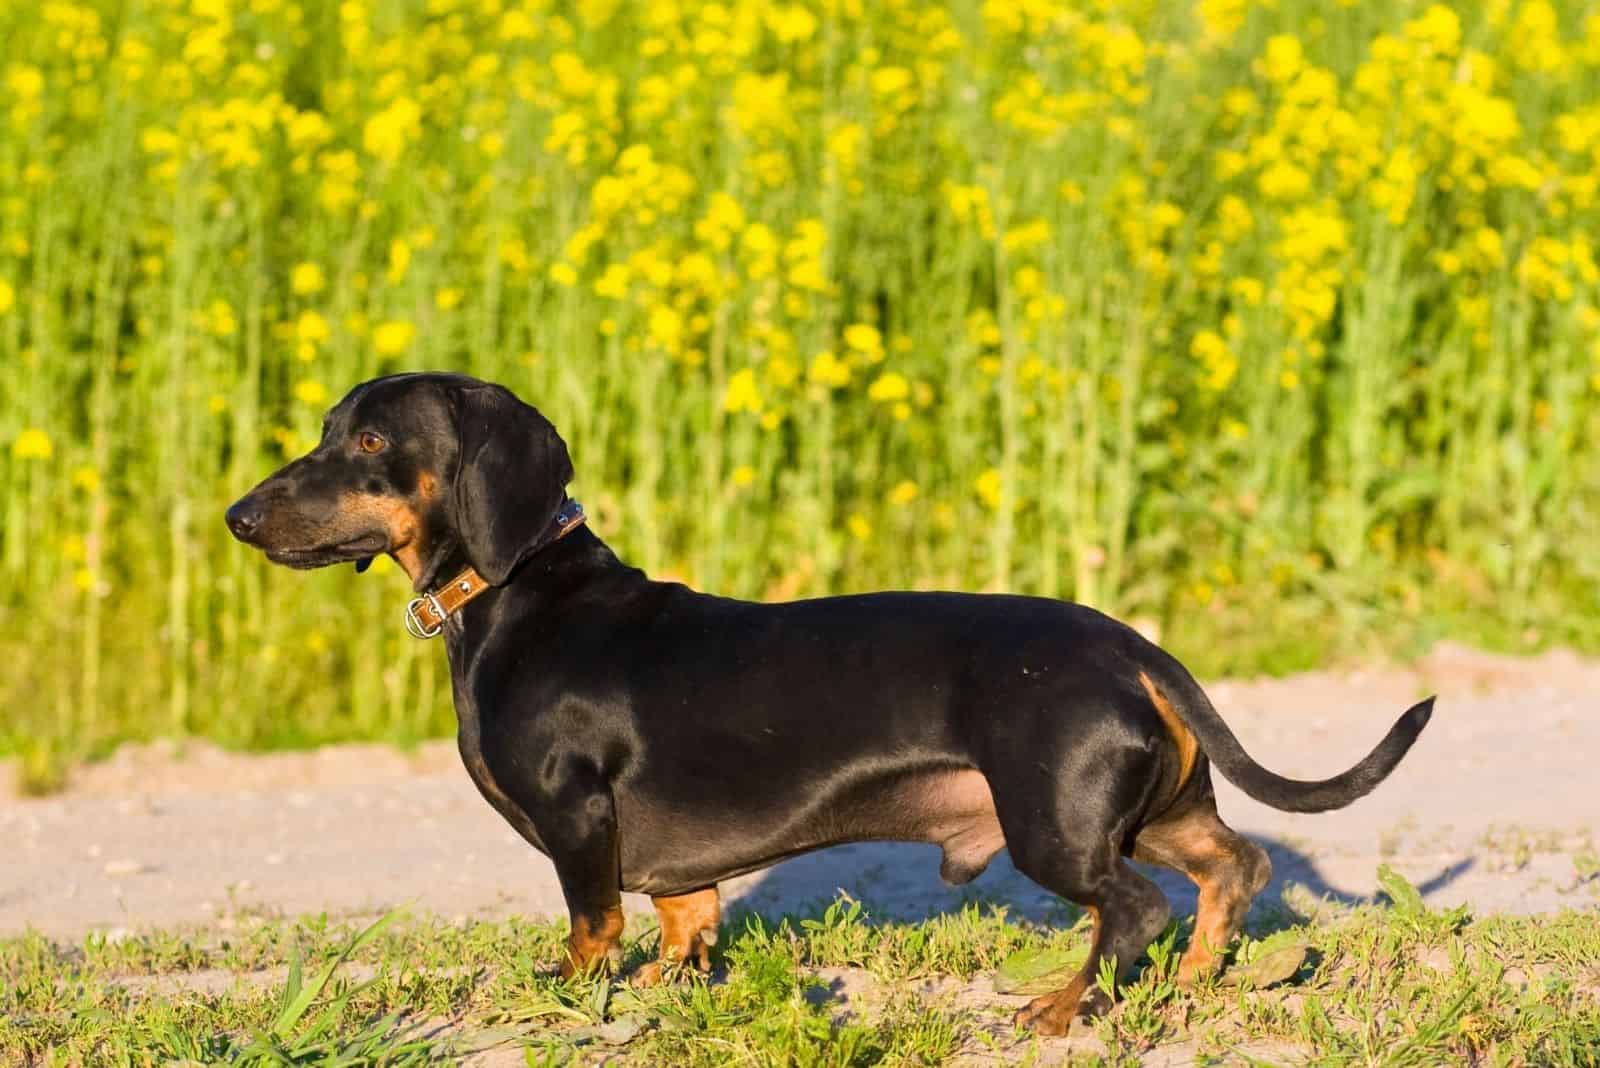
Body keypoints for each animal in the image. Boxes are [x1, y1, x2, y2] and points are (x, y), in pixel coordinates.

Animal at [228, 374, 1440, 1036]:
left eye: (372, 442)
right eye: (330, 428)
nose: (239, 516)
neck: (521, 589)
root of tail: (1132, 646)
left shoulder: (577, 821)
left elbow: (589, 928)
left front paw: (565, 996)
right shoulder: (675, 869)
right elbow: (684, 922)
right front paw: (670, 991)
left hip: (1055, 825)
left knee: (1133, 910)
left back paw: (1062, 1009)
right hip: (1151, 810)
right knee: (1233, 869)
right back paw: (1189, 984)